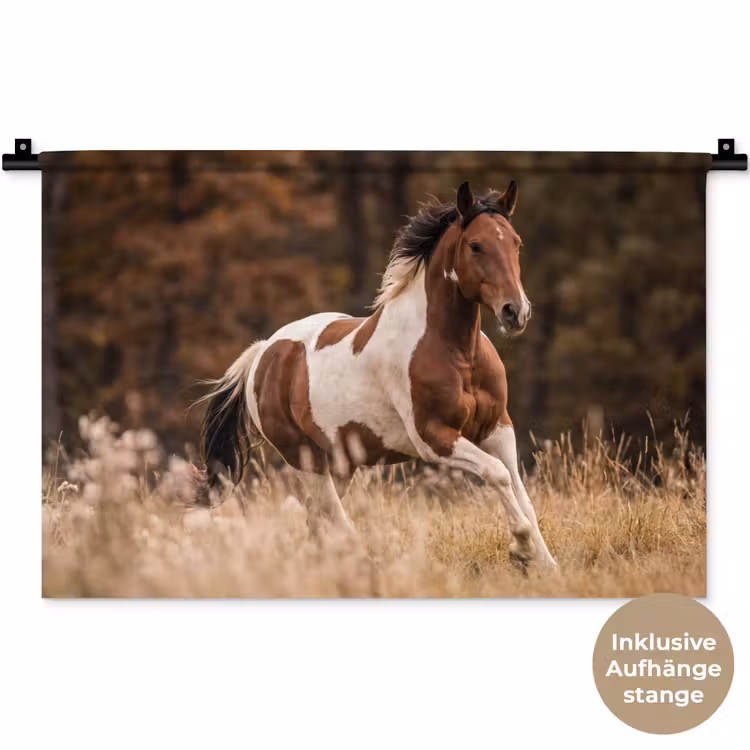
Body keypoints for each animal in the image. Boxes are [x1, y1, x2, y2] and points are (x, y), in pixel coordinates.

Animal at [197, 180, 557, 570]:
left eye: (516, 242)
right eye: (476, 245)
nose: (515, 312)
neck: (458, 353)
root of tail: (263, 352)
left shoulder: (497, 428)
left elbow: (520, 492)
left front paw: (546, 565)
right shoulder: (433, 438)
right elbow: (497, 474)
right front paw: (520, 548)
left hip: (340, 462)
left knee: (317, 519)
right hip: (305, 458)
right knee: (332, 518)